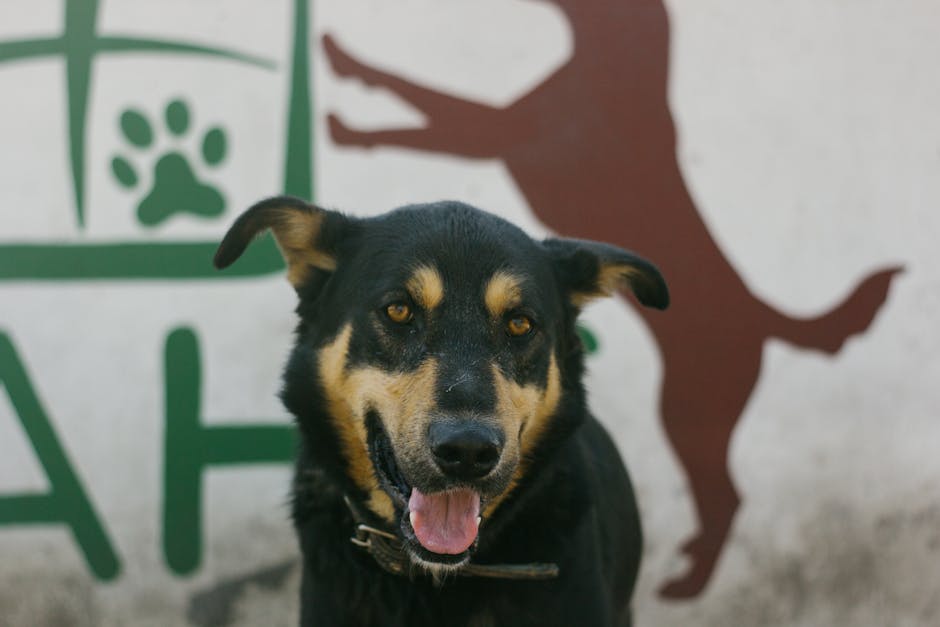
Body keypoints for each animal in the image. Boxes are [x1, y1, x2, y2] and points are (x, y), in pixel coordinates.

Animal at [322, 0, 904, 600]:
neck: (616, 63)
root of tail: (761, 313)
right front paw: (347, 67)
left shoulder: (505, 130)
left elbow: (435, 107)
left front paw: (350, 106)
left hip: (690, 409)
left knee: (726, 493)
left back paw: (692, 577)